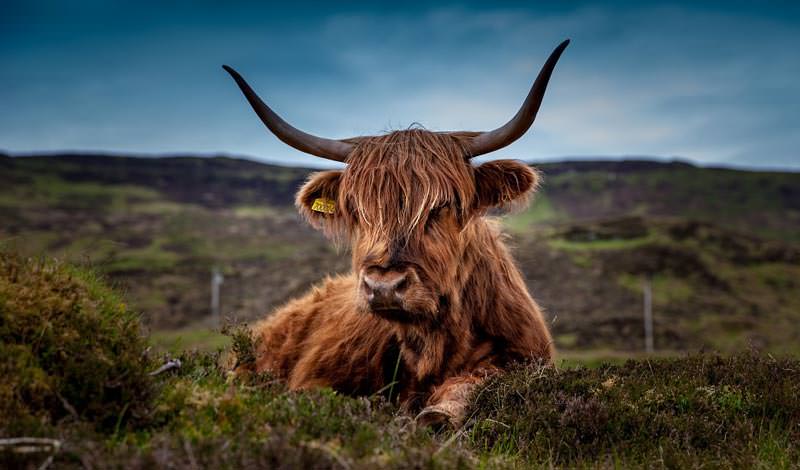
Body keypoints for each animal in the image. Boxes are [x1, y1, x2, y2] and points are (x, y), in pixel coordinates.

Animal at [222, 38, 564, 424]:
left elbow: (475, 382)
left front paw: (438, 414)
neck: (433, 346)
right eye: (358, 210)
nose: (384, 286)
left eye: (442, 206)